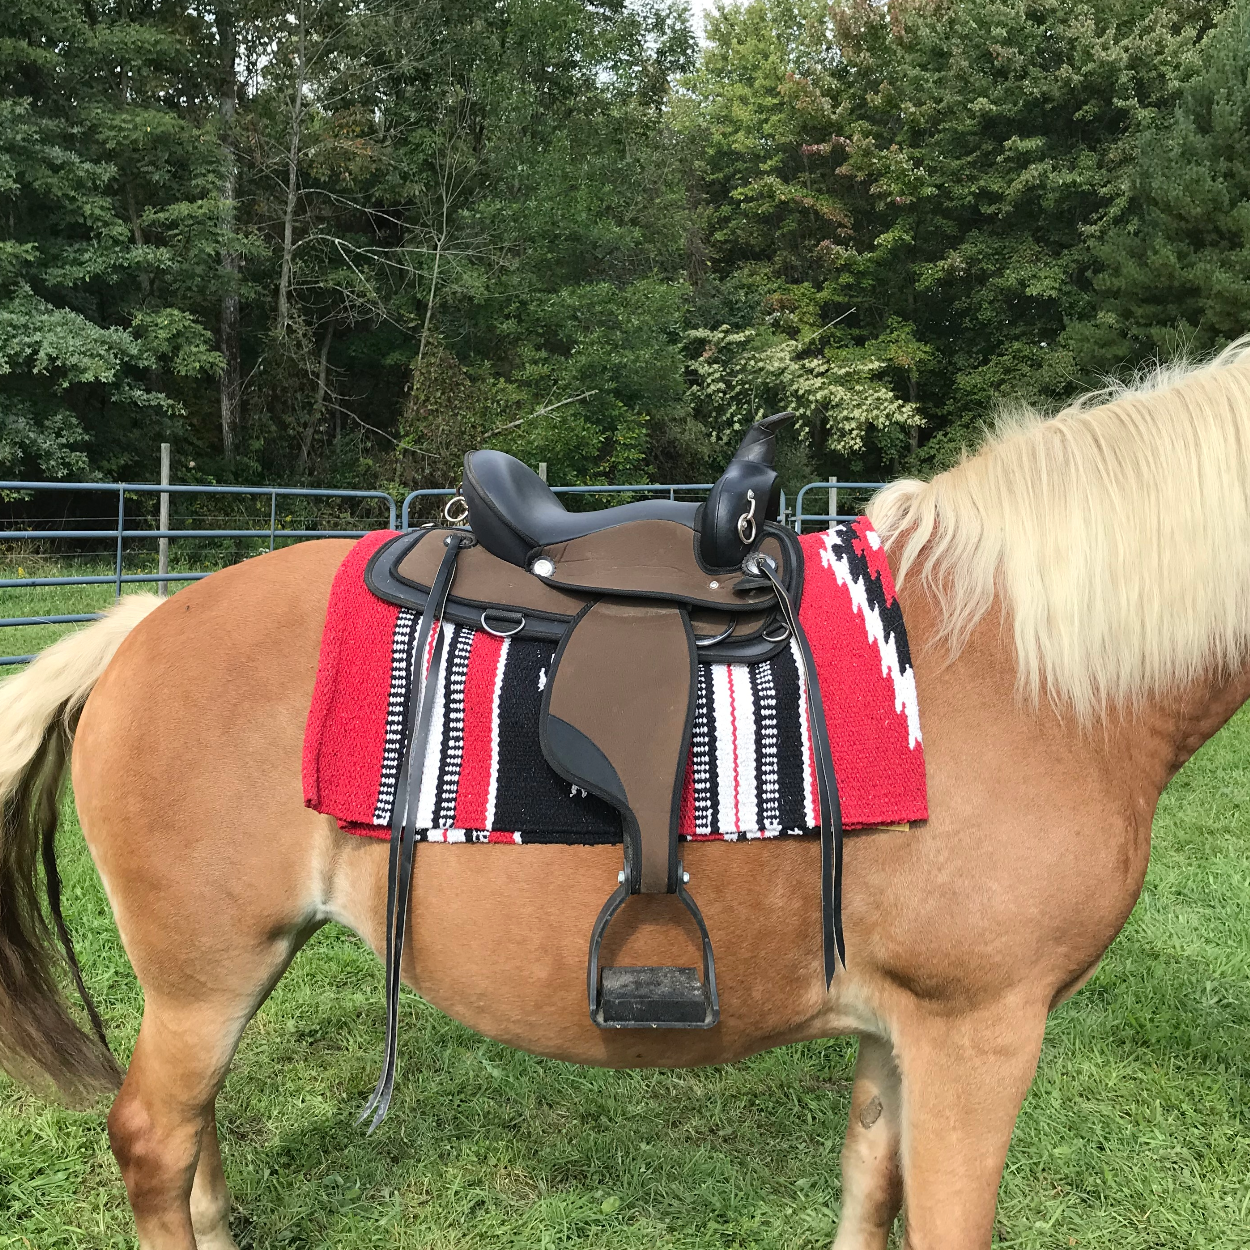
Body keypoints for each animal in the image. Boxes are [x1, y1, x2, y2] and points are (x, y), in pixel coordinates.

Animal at [0, 342, 1245, 1250]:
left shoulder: (904, 1029)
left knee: (194, 1140)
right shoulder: (979, 1030)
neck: (1028, 669)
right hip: (206, 972)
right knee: (155, 1139)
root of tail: (138, 625)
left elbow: (867, 1185)